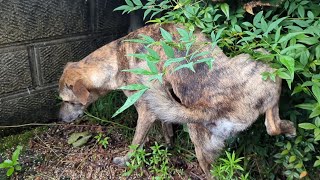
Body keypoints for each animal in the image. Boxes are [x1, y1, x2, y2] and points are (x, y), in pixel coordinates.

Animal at [58, 22, 296, 179]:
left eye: (68, 102)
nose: (59, 118)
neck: (115, 59)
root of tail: (208, 109)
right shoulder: (153, 109)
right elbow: (158, 131)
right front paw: (165, 144)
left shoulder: (146, 111)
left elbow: (139, 140)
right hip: (257, 64)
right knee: (272, 123)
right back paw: (290, 128)